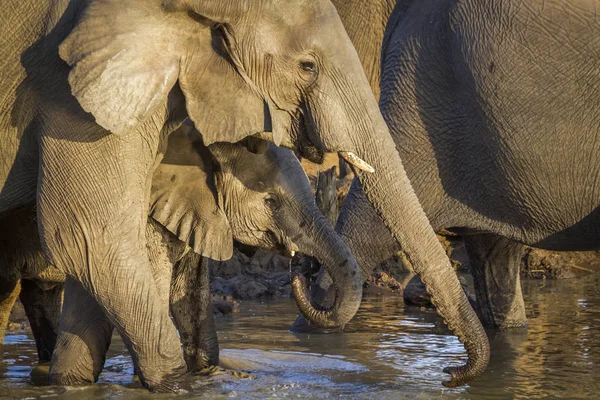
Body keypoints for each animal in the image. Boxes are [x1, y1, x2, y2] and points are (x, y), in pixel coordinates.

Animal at [0, 126, 358, 388]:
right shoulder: (149, 218)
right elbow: (157, 291)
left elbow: (192, 294)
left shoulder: (198, 213)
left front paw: (210, 374)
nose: (301, 264)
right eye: (271, 202)